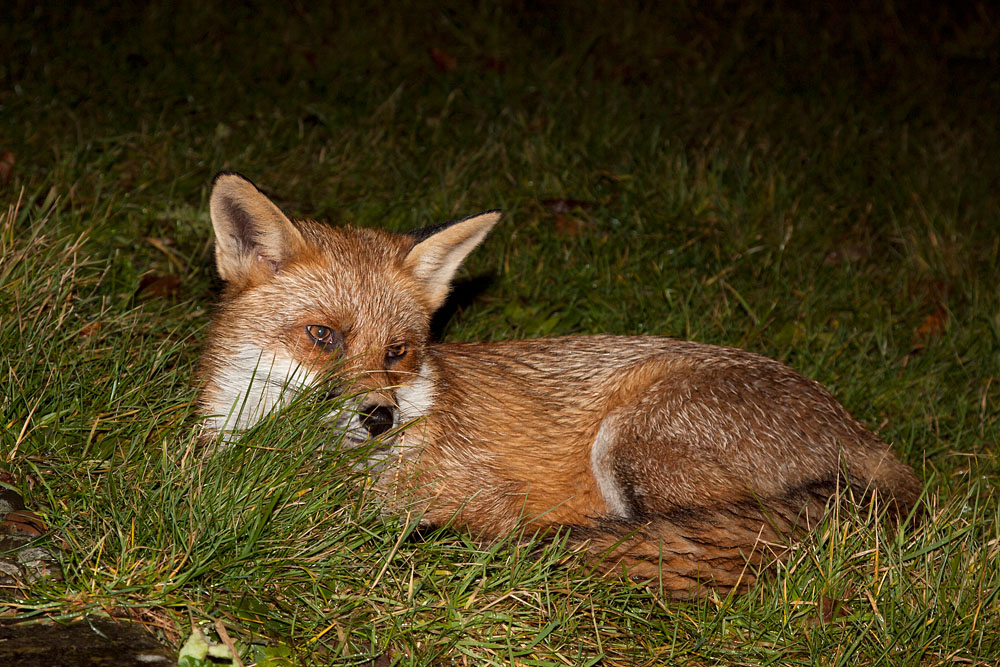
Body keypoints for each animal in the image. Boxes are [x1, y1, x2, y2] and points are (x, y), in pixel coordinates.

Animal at [198, 172, 921, 597]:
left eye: (399, 352)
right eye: (323, 336)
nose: (379, 417)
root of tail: (868, 438)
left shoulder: (485, 499)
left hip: (632, 441)